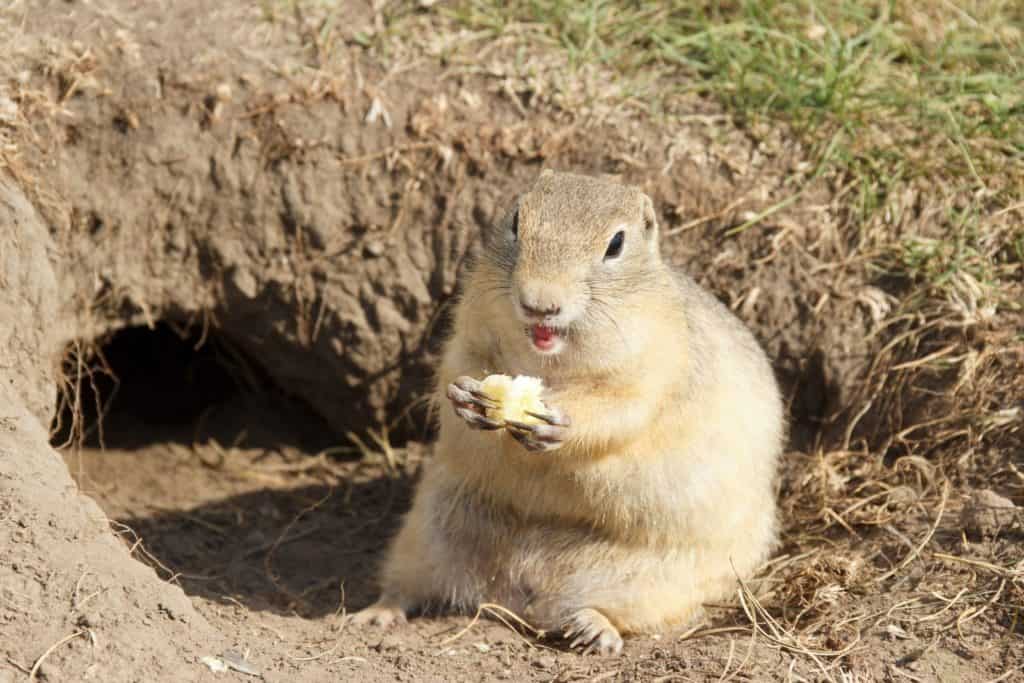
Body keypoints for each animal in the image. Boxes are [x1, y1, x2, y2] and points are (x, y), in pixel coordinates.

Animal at [352, 167, 782, 655]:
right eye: (516, 219)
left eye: (616, 244)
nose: (540, 303)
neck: (549, 363)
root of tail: (520, 590)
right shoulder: (469, 327)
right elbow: (457, 364)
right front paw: (465, 396)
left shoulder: (653, 364)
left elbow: (623, 408)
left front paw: (558, 424)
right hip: (424, 533)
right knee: (405, 585)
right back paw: (377, 613)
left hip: (668, 584)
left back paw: (594, 628)